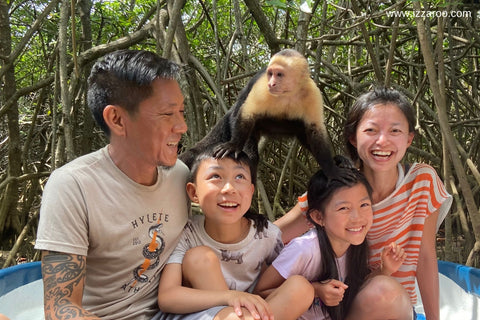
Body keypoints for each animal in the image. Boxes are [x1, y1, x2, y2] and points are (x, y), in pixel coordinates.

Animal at [180, 48, 334, 176]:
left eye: (279, 74)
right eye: (271, 74)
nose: (272, 83)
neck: (288, 93)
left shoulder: (313, 93)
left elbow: (314, 131)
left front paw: (332, 169)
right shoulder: (263, 87)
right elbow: (247, 114)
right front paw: (233, 145)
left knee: (302, 128)